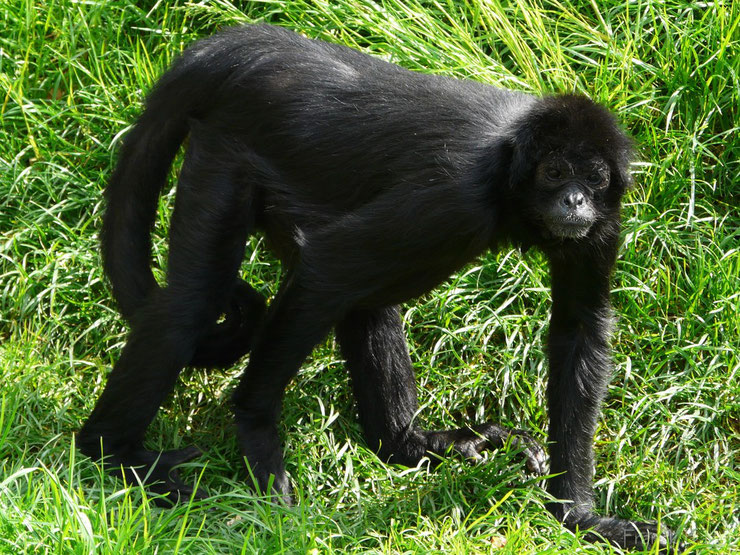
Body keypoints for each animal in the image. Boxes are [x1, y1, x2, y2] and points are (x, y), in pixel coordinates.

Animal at [78, 22, 680, 552]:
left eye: (594, 178)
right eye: (555, 172)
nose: (575, 201)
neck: (510, 173)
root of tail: (246, 50)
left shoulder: (601, 226)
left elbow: (579, 332)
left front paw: (581, 517)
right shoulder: (454, 197)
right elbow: (330, 263)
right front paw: (254, 431)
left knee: (364, 300)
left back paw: (411, 445)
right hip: (224, 157)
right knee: (197, 305)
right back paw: (111, 453)